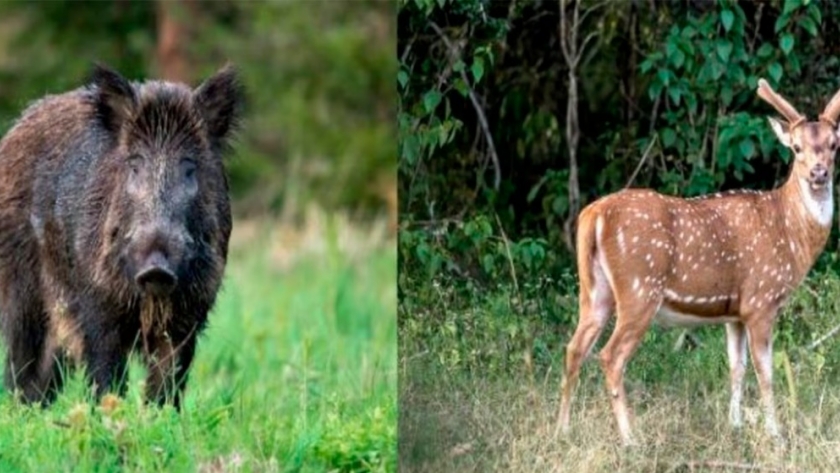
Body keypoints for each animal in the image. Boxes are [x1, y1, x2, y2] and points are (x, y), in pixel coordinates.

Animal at [556, 79, 840, 444]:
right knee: (610, 355)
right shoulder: (761, 300)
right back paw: (630, 438)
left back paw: (561, 431)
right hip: (639, 287)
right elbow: (765, 371)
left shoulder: (735, 312)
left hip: (594, 291)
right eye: (796, 148)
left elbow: (736, 367)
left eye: (833, 145)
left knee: (574, 348)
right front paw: (775, 434)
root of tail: (593, 215)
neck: (791, 234)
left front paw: (735, 425)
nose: (819, 173)